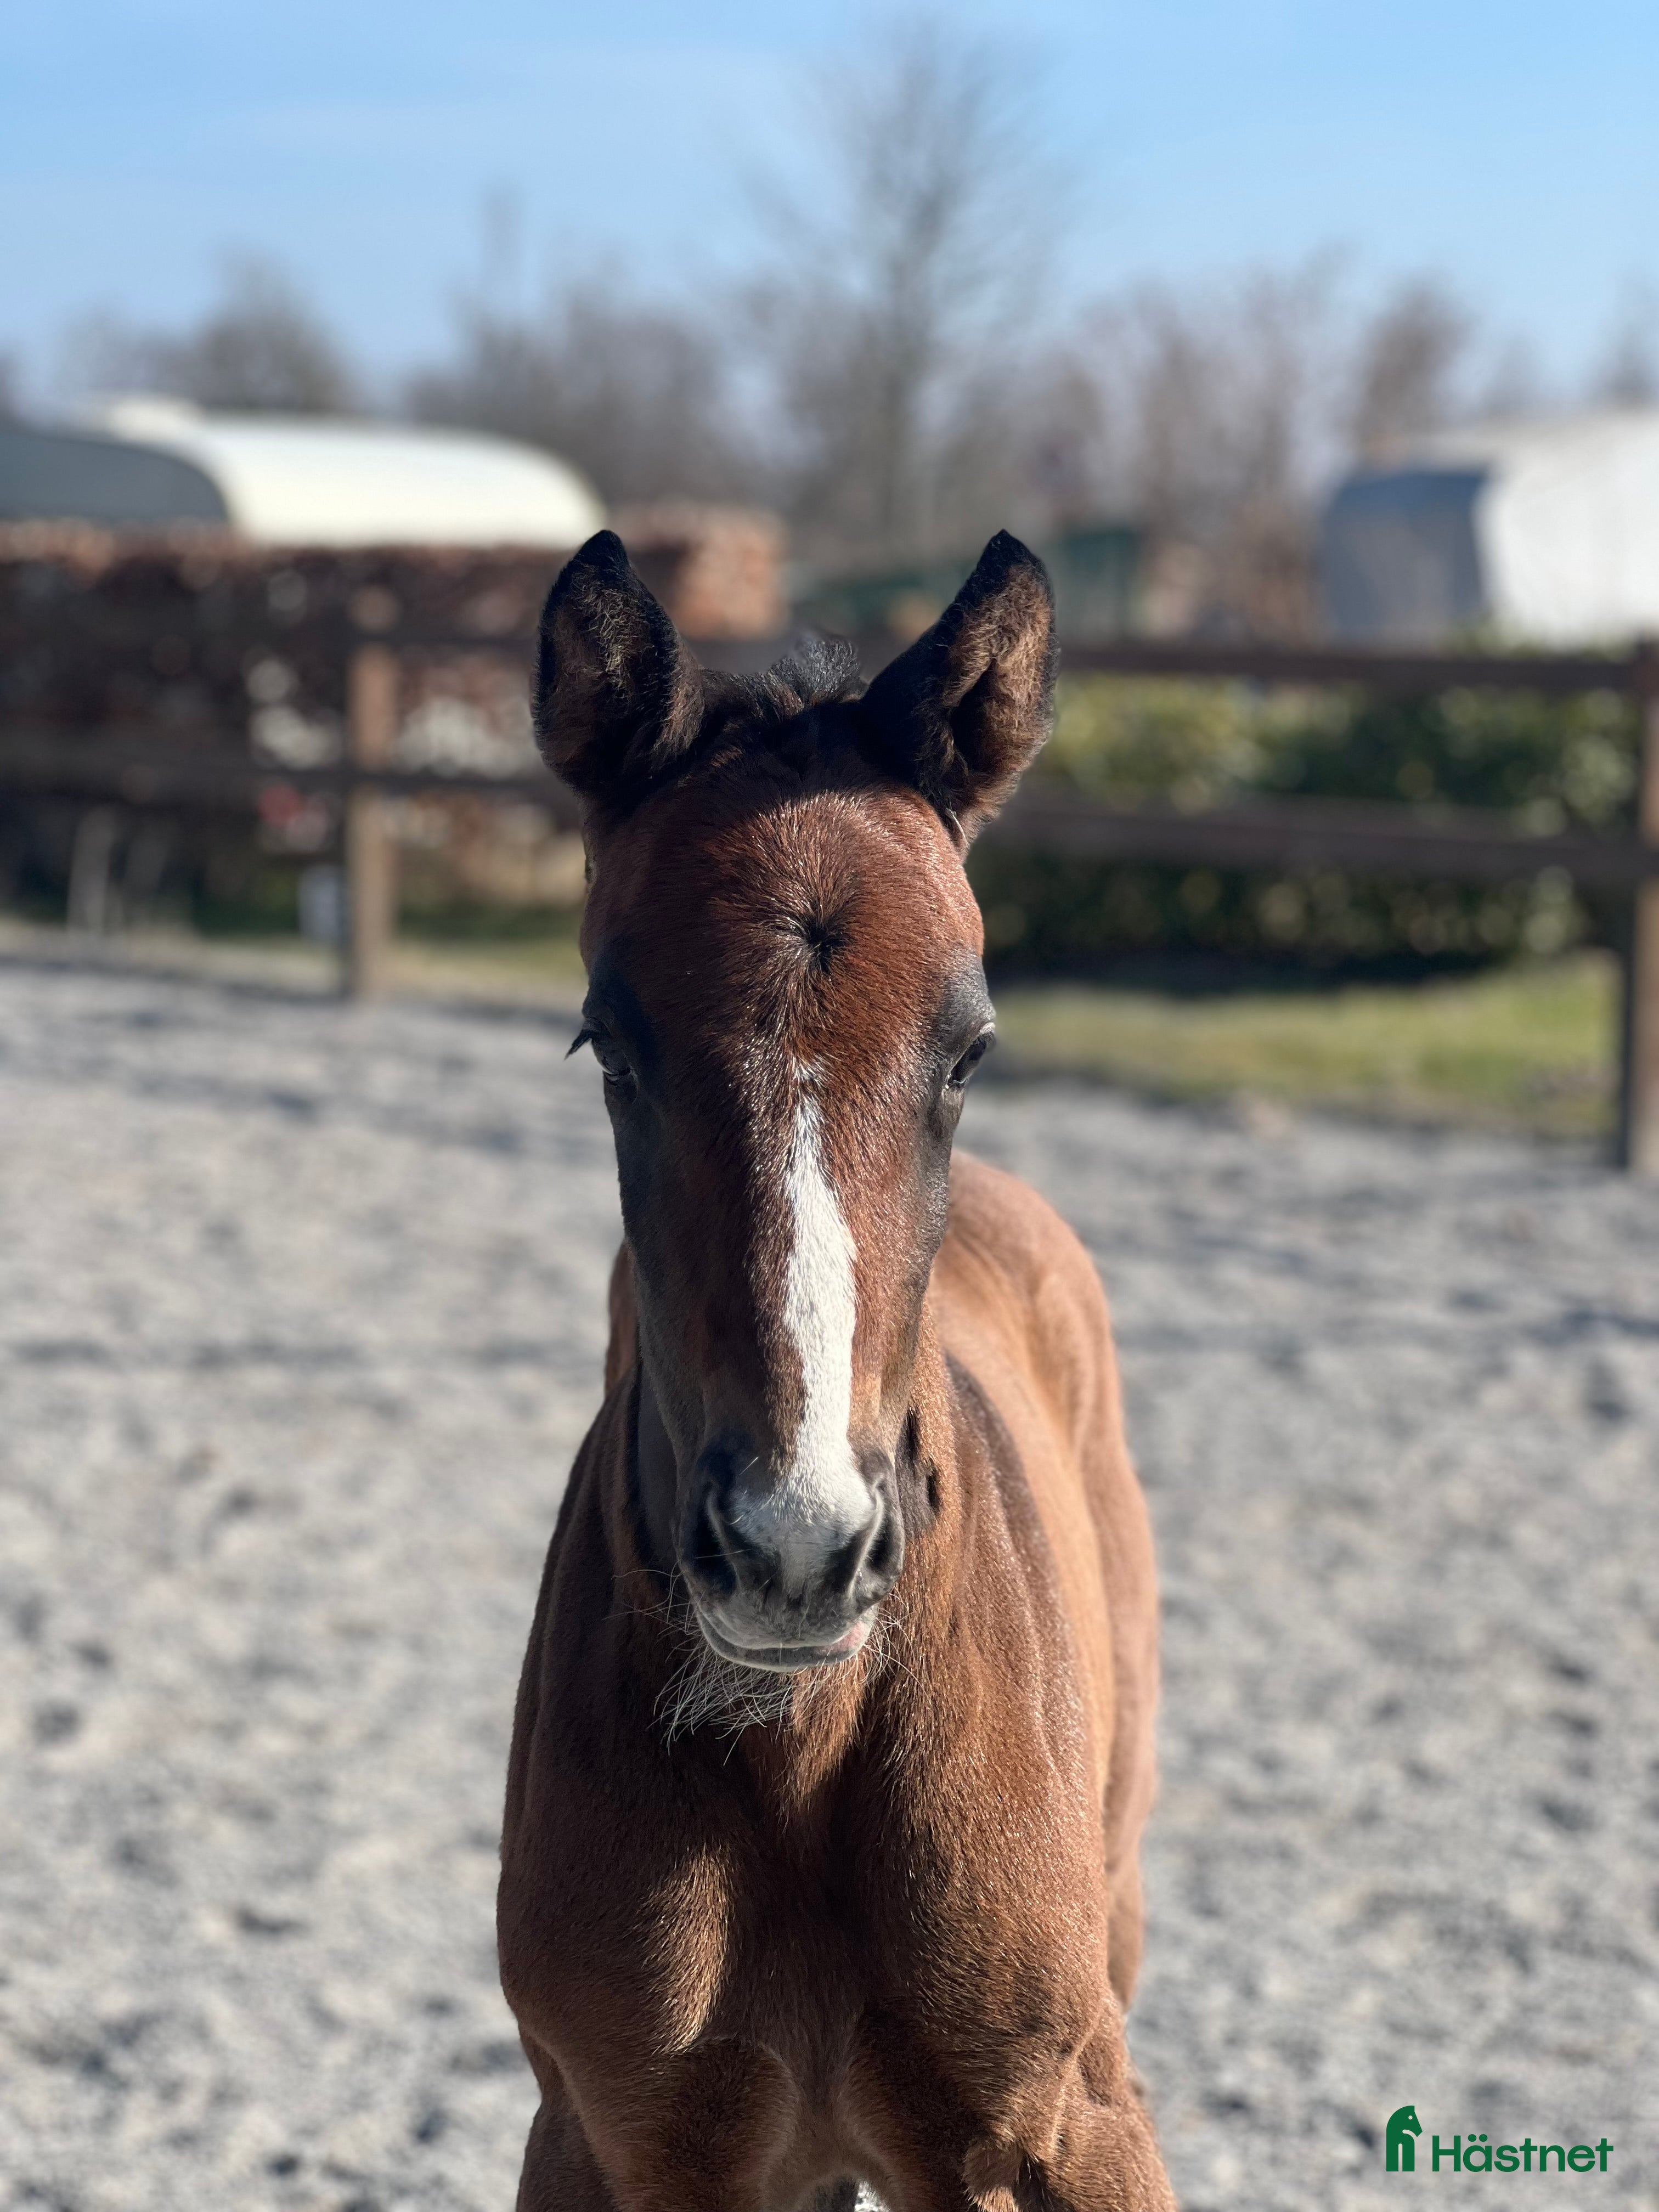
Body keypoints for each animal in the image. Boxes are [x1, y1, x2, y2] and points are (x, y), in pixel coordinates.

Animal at [498, 527, 1173, 2212]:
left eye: (972, 1047)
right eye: (609, 1043)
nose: (794, 1552)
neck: (798, 1752)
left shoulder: (1073, 2122)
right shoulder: (616, 2134)